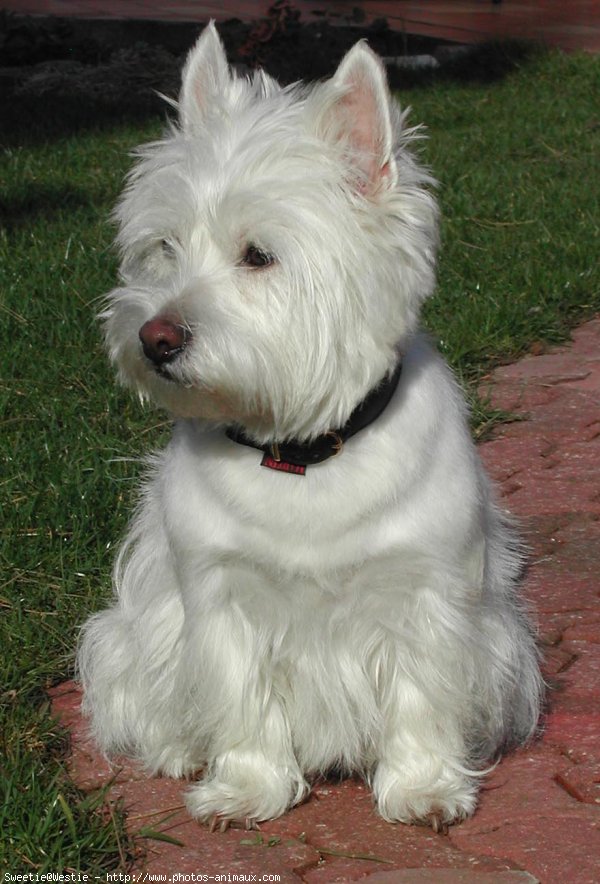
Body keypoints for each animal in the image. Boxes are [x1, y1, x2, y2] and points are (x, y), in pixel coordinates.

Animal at [76, 24, 544, 832]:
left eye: (258, 255)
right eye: (165, 247)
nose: (154, 338)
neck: (299, 452)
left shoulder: (424, 591)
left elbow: (422, 694)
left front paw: (423, 788)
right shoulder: (221, 594)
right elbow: (241, 698)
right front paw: (244, 788)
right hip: (128, 634)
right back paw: (178, 752)